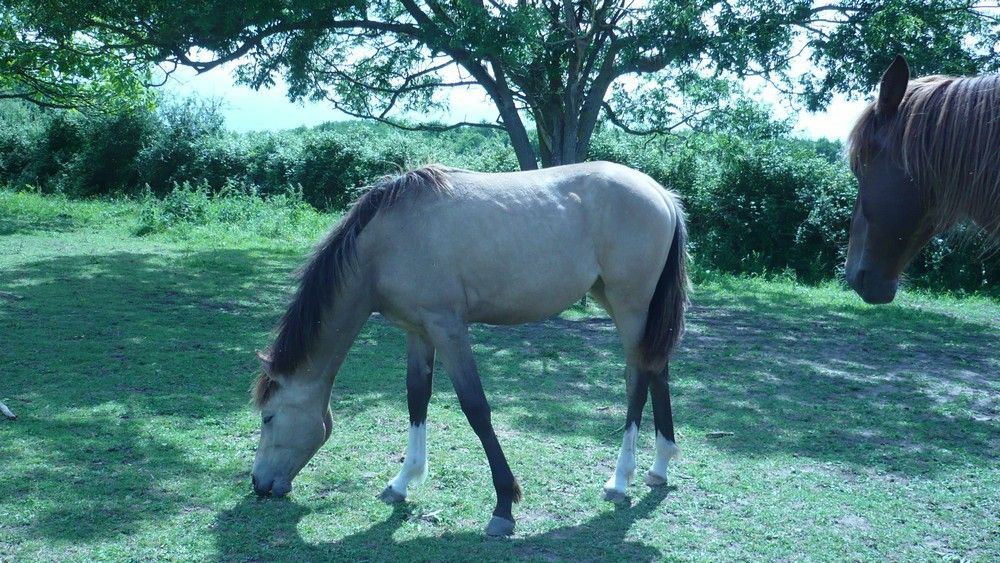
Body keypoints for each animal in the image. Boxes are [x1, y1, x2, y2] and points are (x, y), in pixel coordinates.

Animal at [249, 161, 688, 536]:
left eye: (268, 417)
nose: (258, 484)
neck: (387, 242)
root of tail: (661, 194)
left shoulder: (448, 329)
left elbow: (475, 407)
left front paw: (504, 506)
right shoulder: (418, 331)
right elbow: (416, 398)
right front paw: (403, 481)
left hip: (631, 305)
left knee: (636, 380)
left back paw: (621, 478)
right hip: (619, 302)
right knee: (657, 368)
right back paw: (659, 466)